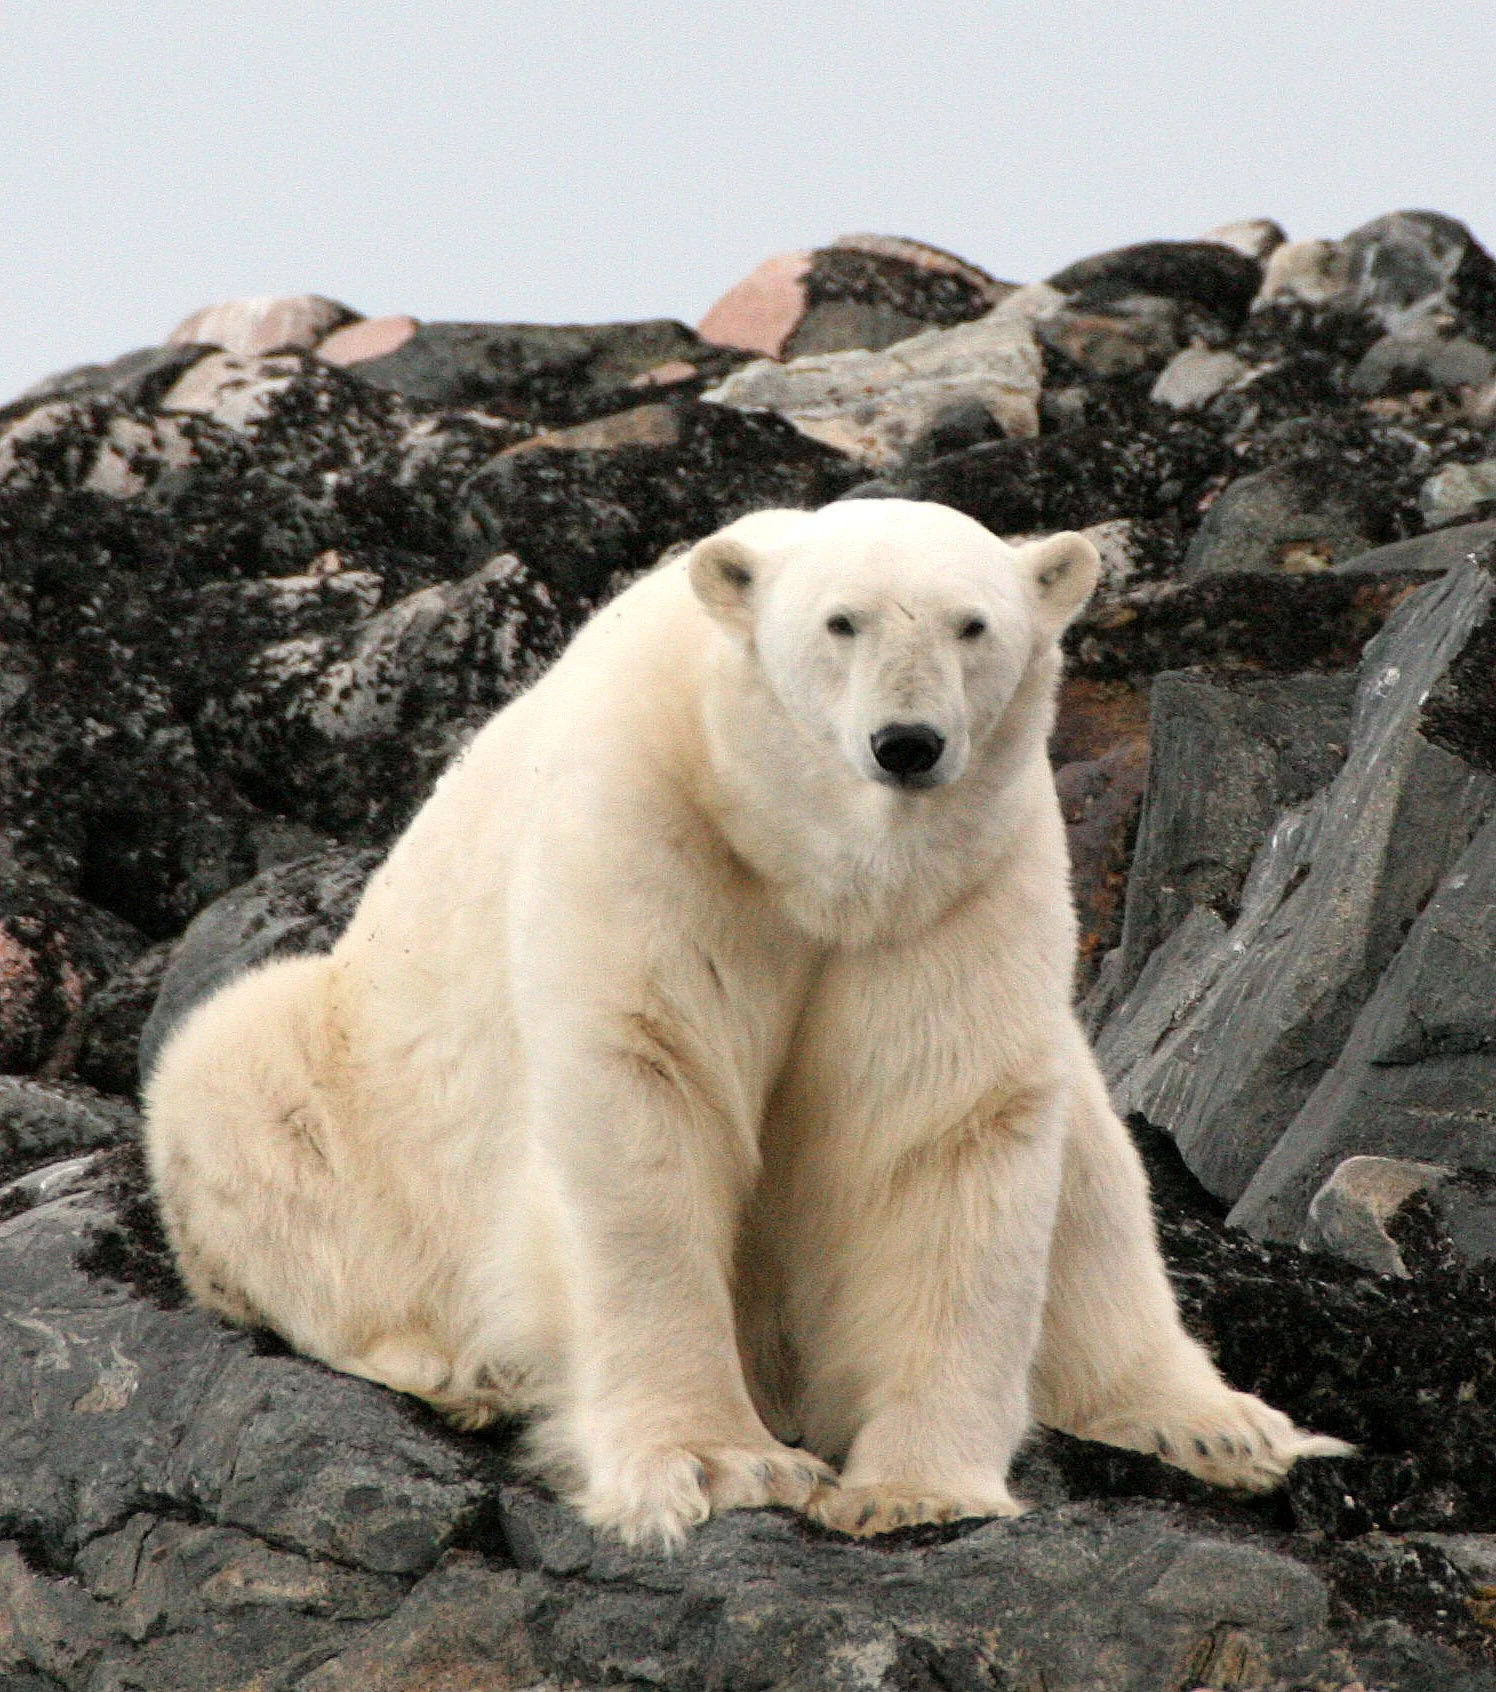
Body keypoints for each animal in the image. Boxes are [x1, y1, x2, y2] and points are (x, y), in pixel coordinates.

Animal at [144, 498, 1350, 1546]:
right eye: (841, 621)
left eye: (973, 624)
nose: (908, 743)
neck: (804, 850)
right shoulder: (655, 826)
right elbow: (647, 1088)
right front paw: (721, 1462)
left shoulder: (959, 886)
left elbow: (944, 1123)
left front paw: (914, 1487)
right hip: (339, 1095)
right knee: (243, 1094)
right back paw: (455, 1368)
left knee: (1092, 1166)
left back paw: (1216, 1425)